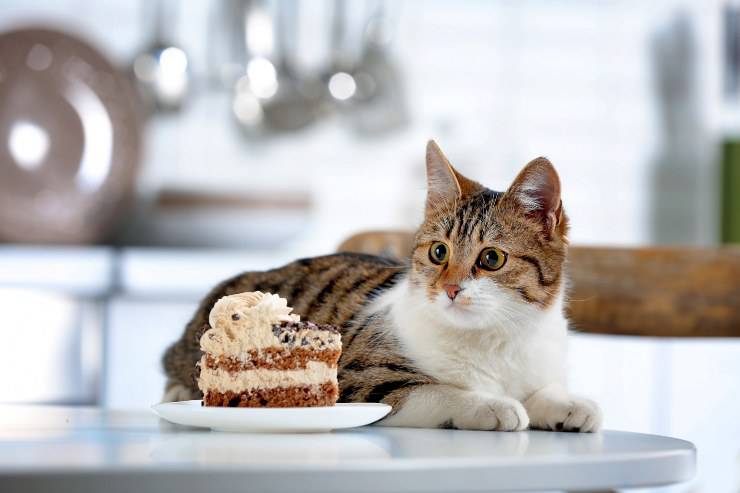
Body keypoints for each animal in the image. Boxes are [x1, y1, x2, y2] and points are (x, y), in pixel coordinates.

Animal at [162, 139, 600, 430]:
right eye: (439, 252)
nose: (450, 290)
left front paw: (566, 404)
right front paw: (490, 405)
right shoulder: (361, 378)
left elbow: (545, 388)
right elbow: (432, 390)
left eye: (491, 258)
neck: (495, 339)